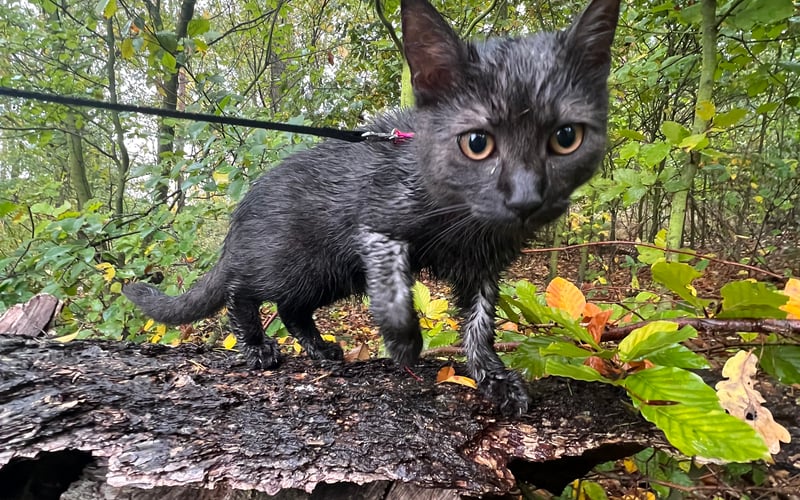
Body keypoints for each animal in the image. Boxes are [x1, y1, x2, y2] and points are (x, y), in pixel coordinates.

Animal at [126, 0, 624, 414]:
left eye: (566, 137)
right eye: (477, 143)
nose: (525, 197)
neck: (471, 223)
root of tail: (242, 211)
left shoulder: (483, 266)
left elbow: (480, 325)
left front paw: (494, 380)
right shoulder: (376, 221)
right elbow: (394, 279)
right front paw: (404, 341)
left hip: (327, 275)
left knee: (291, 308)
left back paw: (321, 348)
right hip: (296, 260)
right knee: (243, 289)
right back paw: (257, 345)